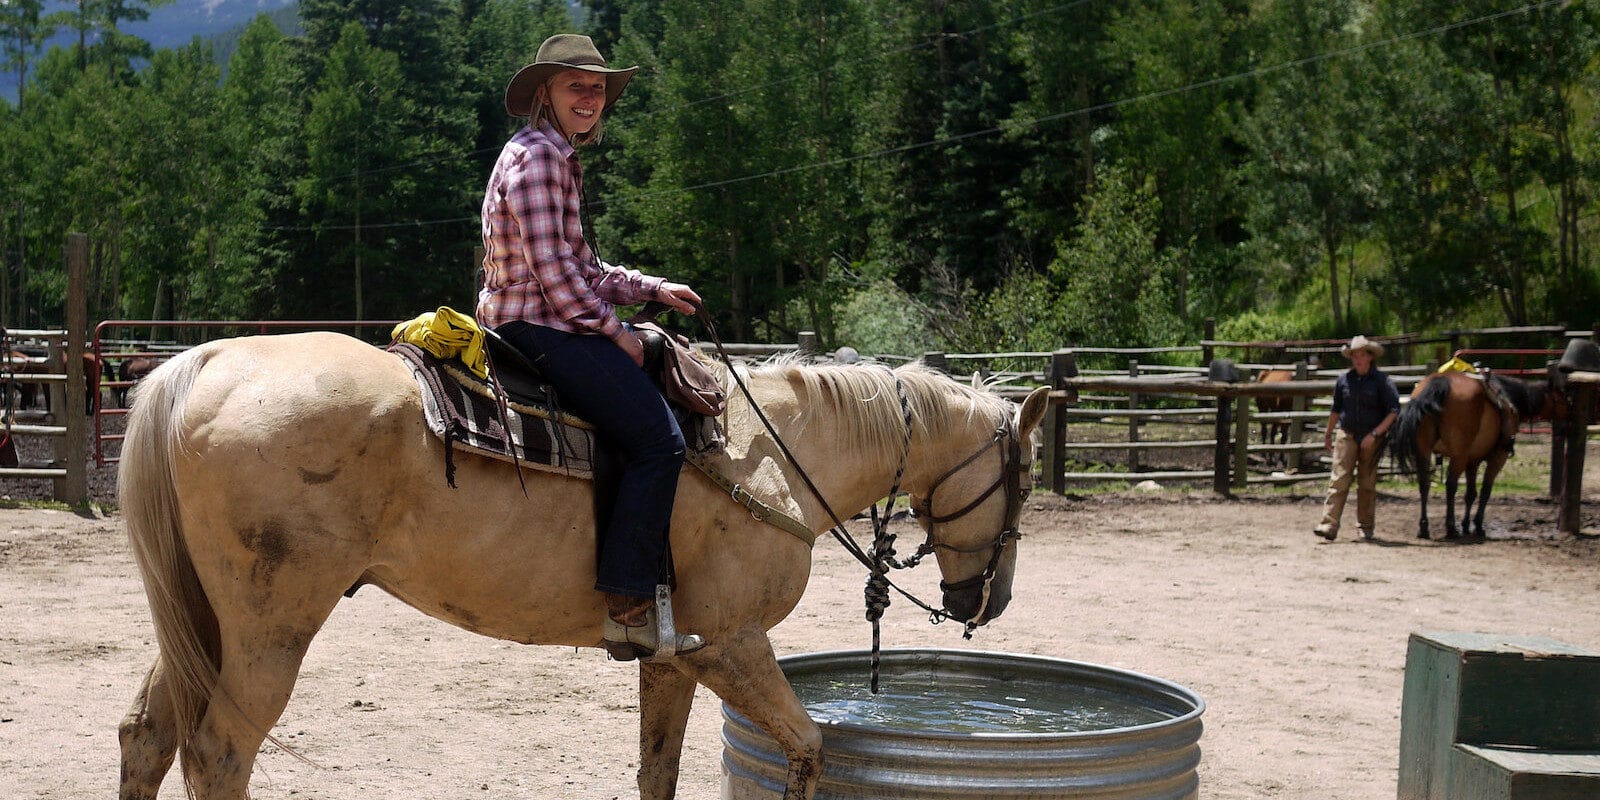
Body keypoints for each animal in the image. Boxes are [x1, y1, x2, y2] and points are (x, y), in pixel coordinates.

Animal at [118, 331, 1056, 800]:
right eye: (1026, 476)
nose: (991, 600)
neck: (773, 457)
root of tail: (204, 361)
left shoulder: (673, 657)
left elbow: (658, 770)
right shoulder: (732, 645)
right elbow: (807, 750)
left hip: (199, 619)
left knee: (149, 736)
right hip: (269, 627)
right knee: (218, 753)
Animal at [1395, 368, 1568, 537]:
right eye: (1561, 399)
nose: (1569, 418)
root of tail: (1441, 382)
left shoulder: (1472, 461)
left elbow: (1471, 494)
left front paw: (1466, 525)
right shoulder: (1498, 458)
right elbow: (1485, 490)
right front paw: (1477, 525)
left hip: (1424, 451)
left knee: (1425, 484)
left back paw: (1424, 528)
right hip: (1458, 456)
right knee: (1451, 485)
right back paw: (1451, 528)